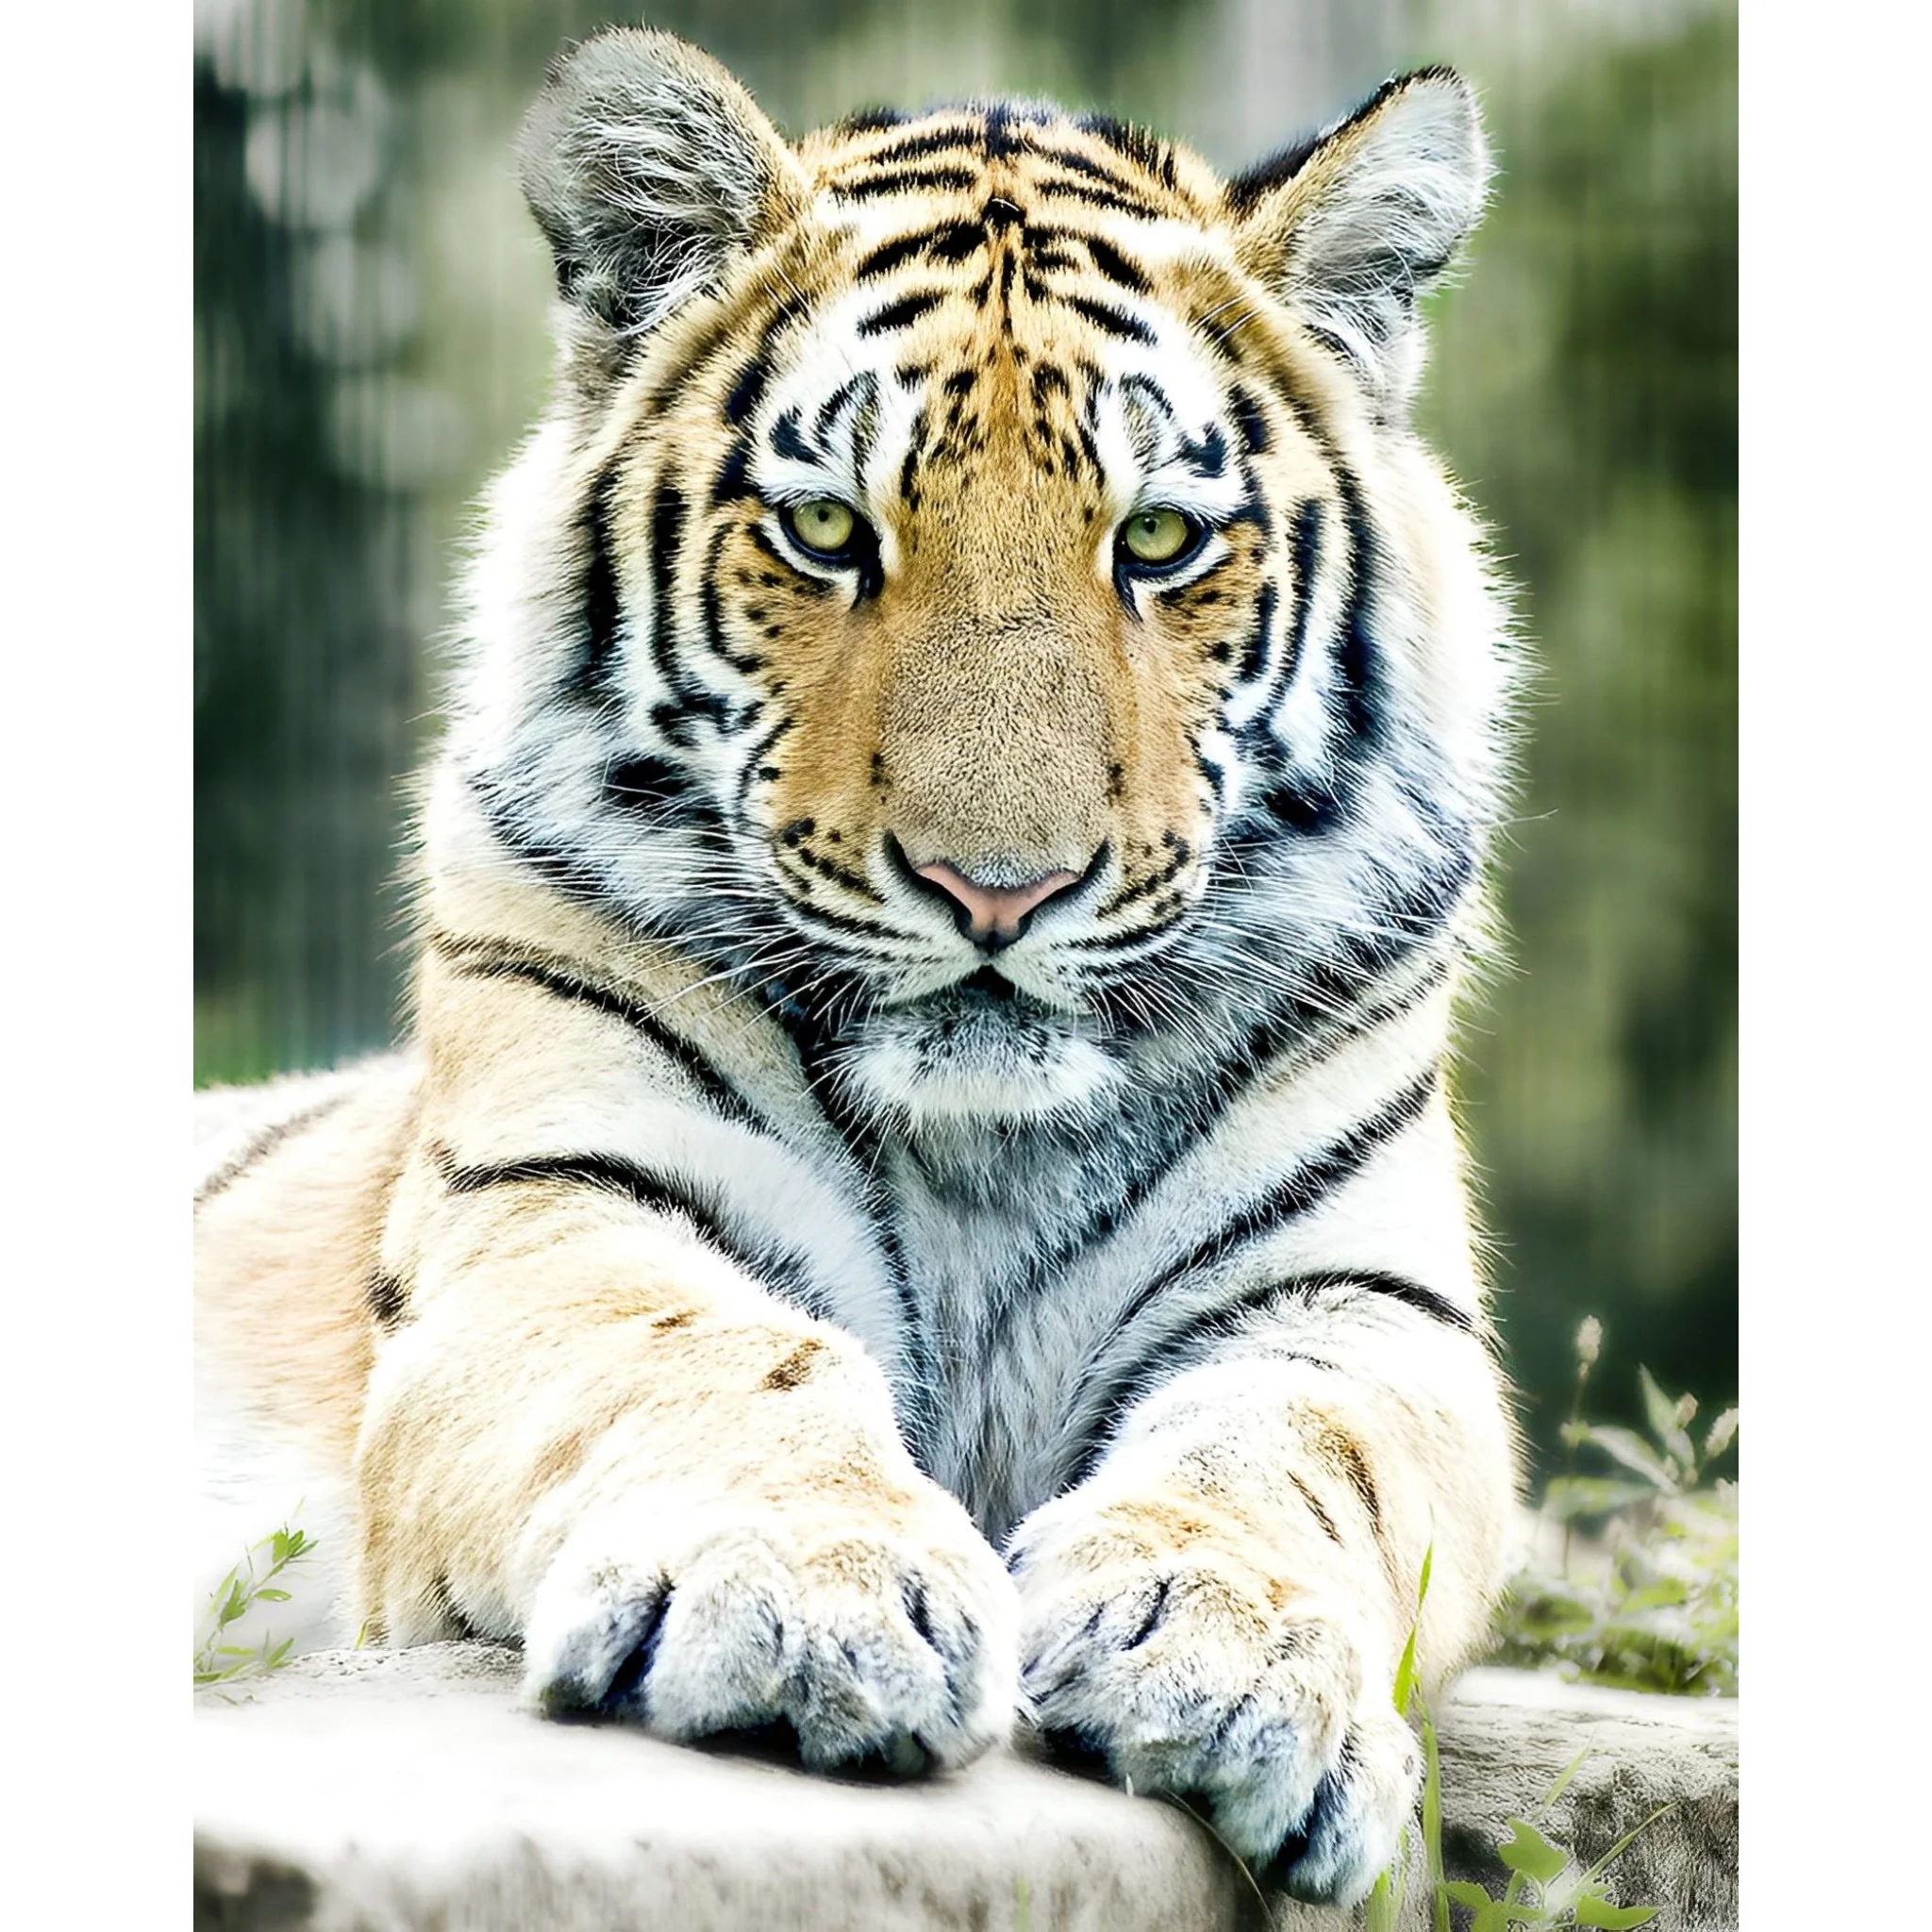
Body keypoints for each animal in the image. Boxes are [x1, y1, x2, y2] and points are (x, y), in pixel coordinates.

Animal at [195, 24, 1522, 1909]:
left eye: (1160, 542)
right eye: (827, 531)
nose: (998, 888)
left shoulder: (1359, 1304)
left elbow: (1289, 1453)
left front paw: (1223, 1658)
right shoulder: (556, 1212)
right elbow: (710, 1355)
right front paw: (800, 1602)